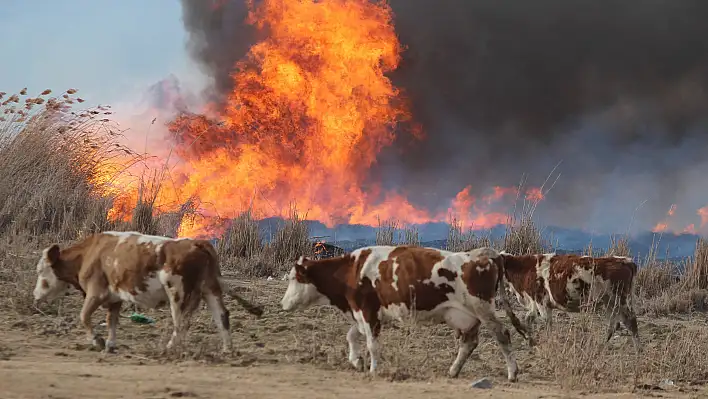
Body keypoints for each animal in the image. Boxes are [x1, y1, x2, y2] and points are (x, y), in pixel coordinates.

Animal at [31, 231, 262, 354]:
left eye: (41, 270)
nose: (35, 295)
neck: (89, 254)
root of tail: (198, 243)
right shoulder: (114, 297)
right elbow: (111, 320)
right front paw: (110, 344)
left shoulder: (96, 292)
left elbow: (84, 316)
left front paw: (97, 341)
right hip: (210, 289)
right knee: (222, 316)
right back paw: (227, 349)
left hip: (178, 293)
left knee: (182, 323)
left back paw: (169, 348)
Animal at [280, 245, 528, 382]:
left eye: (293, 278)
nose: (283, 304)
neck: (352, 270)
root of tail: (484, 254)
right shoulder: (365, 313)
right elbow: (352, 335)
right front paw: (356, 361)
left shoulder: (367, 310)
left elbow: (372, 344)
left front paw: (373, 368)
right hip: (468, 317)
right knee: (469, 343)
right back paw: (453, 371)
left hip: (483, 309)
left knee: (503, 334)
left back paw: (513, 373)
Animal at [498, 252, 640, 352]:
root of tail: (625, 261)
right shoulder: (534, 302)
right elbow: (529, 319)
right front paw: (531, 342)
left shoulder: (541, 301)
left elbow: (547, 323)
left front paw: (547, 342)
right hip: (609, 302)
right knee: (614, 324)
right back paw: (601, 345)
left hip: (619, 299)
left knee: (630, 321)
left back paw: (638, 350)